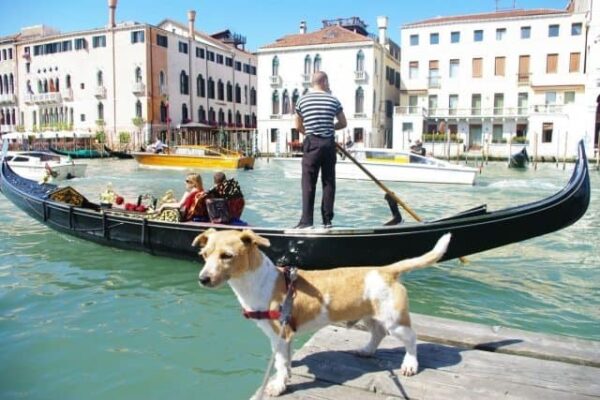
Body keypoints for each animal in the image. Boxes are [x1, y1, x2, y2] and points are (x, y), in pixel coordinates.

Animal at [192, 228, 450, 396]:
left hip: (394, 321)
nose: (203, 279)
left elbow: (281, 363)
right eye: (204, 255)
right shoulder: (284, 336)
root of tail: (387, 270)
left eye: (227, 256)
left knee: (411, 339)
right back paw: (366, 351)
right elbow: (284, 360)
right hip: (369, 316)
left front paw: (278, 385)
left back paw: (410, 364)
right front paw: (286, 372)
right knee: (377, 333)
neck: (256, 281)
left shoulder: (280, 334)